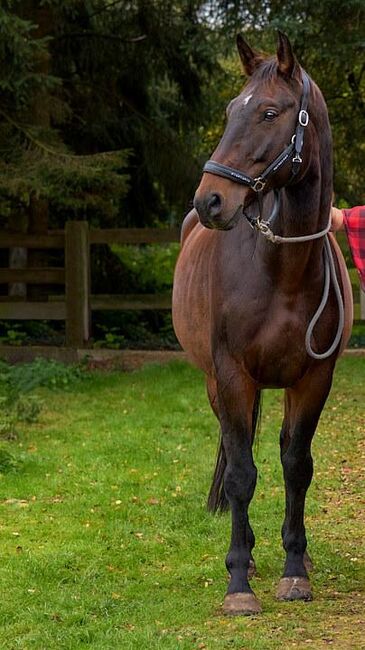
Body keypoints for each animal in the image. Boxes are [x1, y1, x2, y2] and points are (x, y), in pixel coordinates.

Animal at [172, 33, 352, 616]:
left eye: (270, 112)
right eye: (232, 110)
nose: (210, 200)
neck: (282, 271)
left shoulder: (313, 380)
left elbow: (296, 465)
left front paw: (295, 570)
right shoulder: (232, 376)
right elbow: (240, 474)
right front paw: (238, 582)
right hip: (216, 384)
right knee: (238, 455)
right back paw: (247, 557)